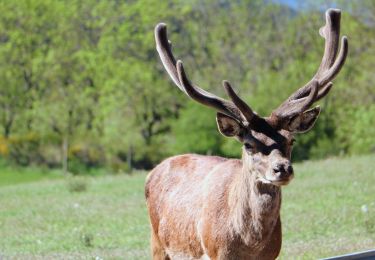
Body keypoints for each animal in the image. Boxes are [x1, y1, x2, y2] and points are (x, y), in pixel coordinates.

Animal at [146, 9, 350, 258]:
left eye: (291, 140)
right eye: (248, 144)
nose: (282, 168)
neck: (249, 245)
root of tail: (153, 171)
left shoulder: (273, 254)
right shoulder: (215, 252)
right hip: (158, 242)